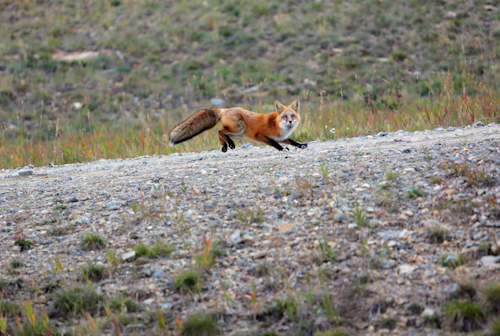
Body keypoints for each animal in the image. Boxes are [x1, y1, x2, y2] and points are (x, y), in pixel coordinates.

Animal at [170, 99, 306, 152]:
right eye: (285, 117)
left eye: (292, 116)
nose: (290, 122)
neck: (277, 125)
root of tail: (224, 109)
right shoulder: (259, 135)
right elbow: (273, 143)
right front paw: (281, 149)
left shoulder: (281, 137)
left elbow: (292, 141)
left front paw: (301, 145)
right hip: (240, 129)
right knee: (220, 131)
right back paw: (229, 144)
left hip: (239, 134)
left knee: (220, 133)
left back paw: (224, 146)